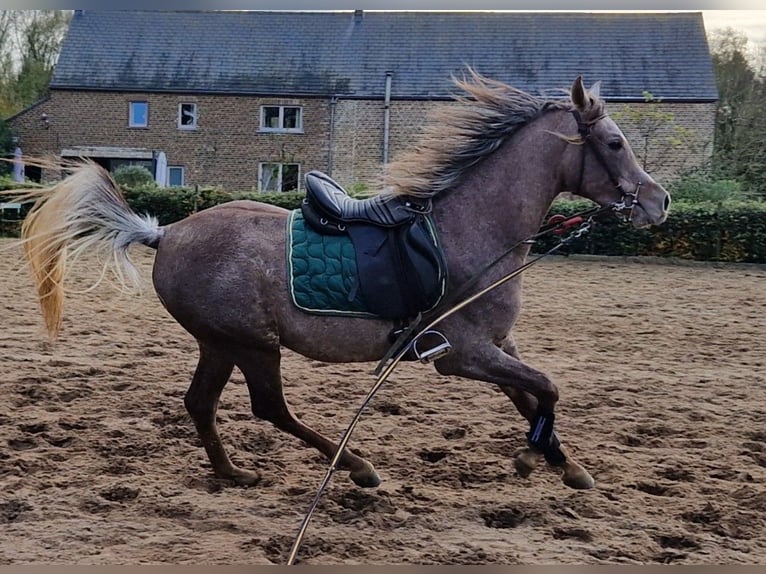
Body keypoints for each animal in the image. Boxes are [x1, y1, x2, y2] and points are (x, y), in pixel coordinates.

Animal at [15, 71, 668, 496]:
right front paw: (535, 460)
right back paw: (356, 466)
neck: (472, 229)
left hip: (220, 343)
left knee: (201, 402)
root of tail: (166, 234)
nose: (659, 202)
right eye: (614, 143)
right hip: (252, 343)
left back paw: (232, 473)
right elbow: (547, 389)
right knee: (269, 407)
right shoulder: (462, 355)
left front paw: (560, 462)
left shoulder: (495, 346)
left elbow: (529, 395)